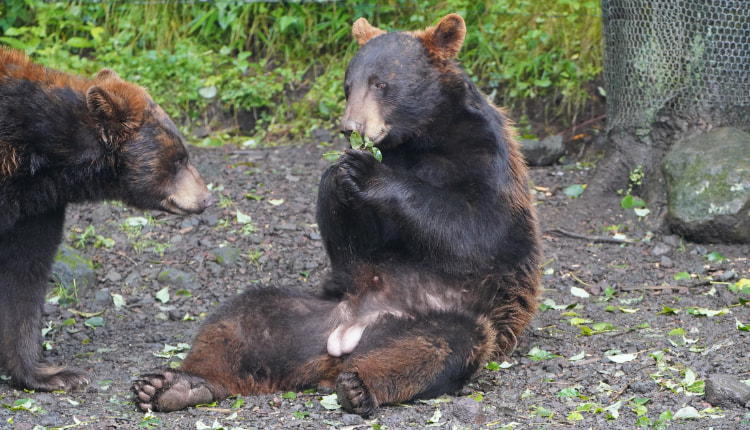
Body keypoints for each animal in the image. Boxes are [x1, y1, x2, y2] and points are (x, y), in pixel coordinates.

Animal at [132, 13, 536, 416]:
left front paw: (364, 170)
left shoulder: (484, 155)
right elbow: (360, 238)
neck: (420, 138)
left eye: (381, 83)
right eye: (347, 86)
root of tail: (345, 337)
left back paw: (360, 387)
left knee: (436, 347)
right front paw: (338, 176)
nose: (350, 127)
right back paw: (173, 385)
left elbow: (479, 228)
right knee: (240, 320)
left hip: (452, 321)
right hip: (304, 316)